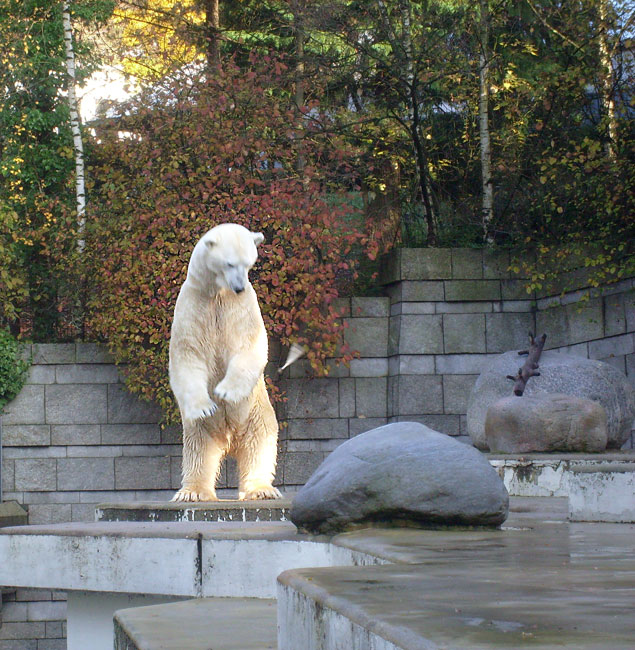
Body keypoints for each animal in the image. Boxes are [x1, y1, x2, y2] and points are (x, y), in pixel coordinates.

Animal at [169, 223, 280, 502]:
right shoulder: (192, 306)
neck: (217, 294)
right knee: (198, 452)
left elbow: (249, 346)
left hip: (257, 414)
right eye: (230, 263)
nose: (239, 286)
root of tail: (230, 443)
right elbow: (188, 355)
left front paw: (226, 392)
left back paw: (261, 489)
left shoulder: (242, 307)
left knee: (260, 447)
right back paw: (192, 492)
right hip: (199, 430)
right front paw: (206, 405)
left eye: (249, 263)